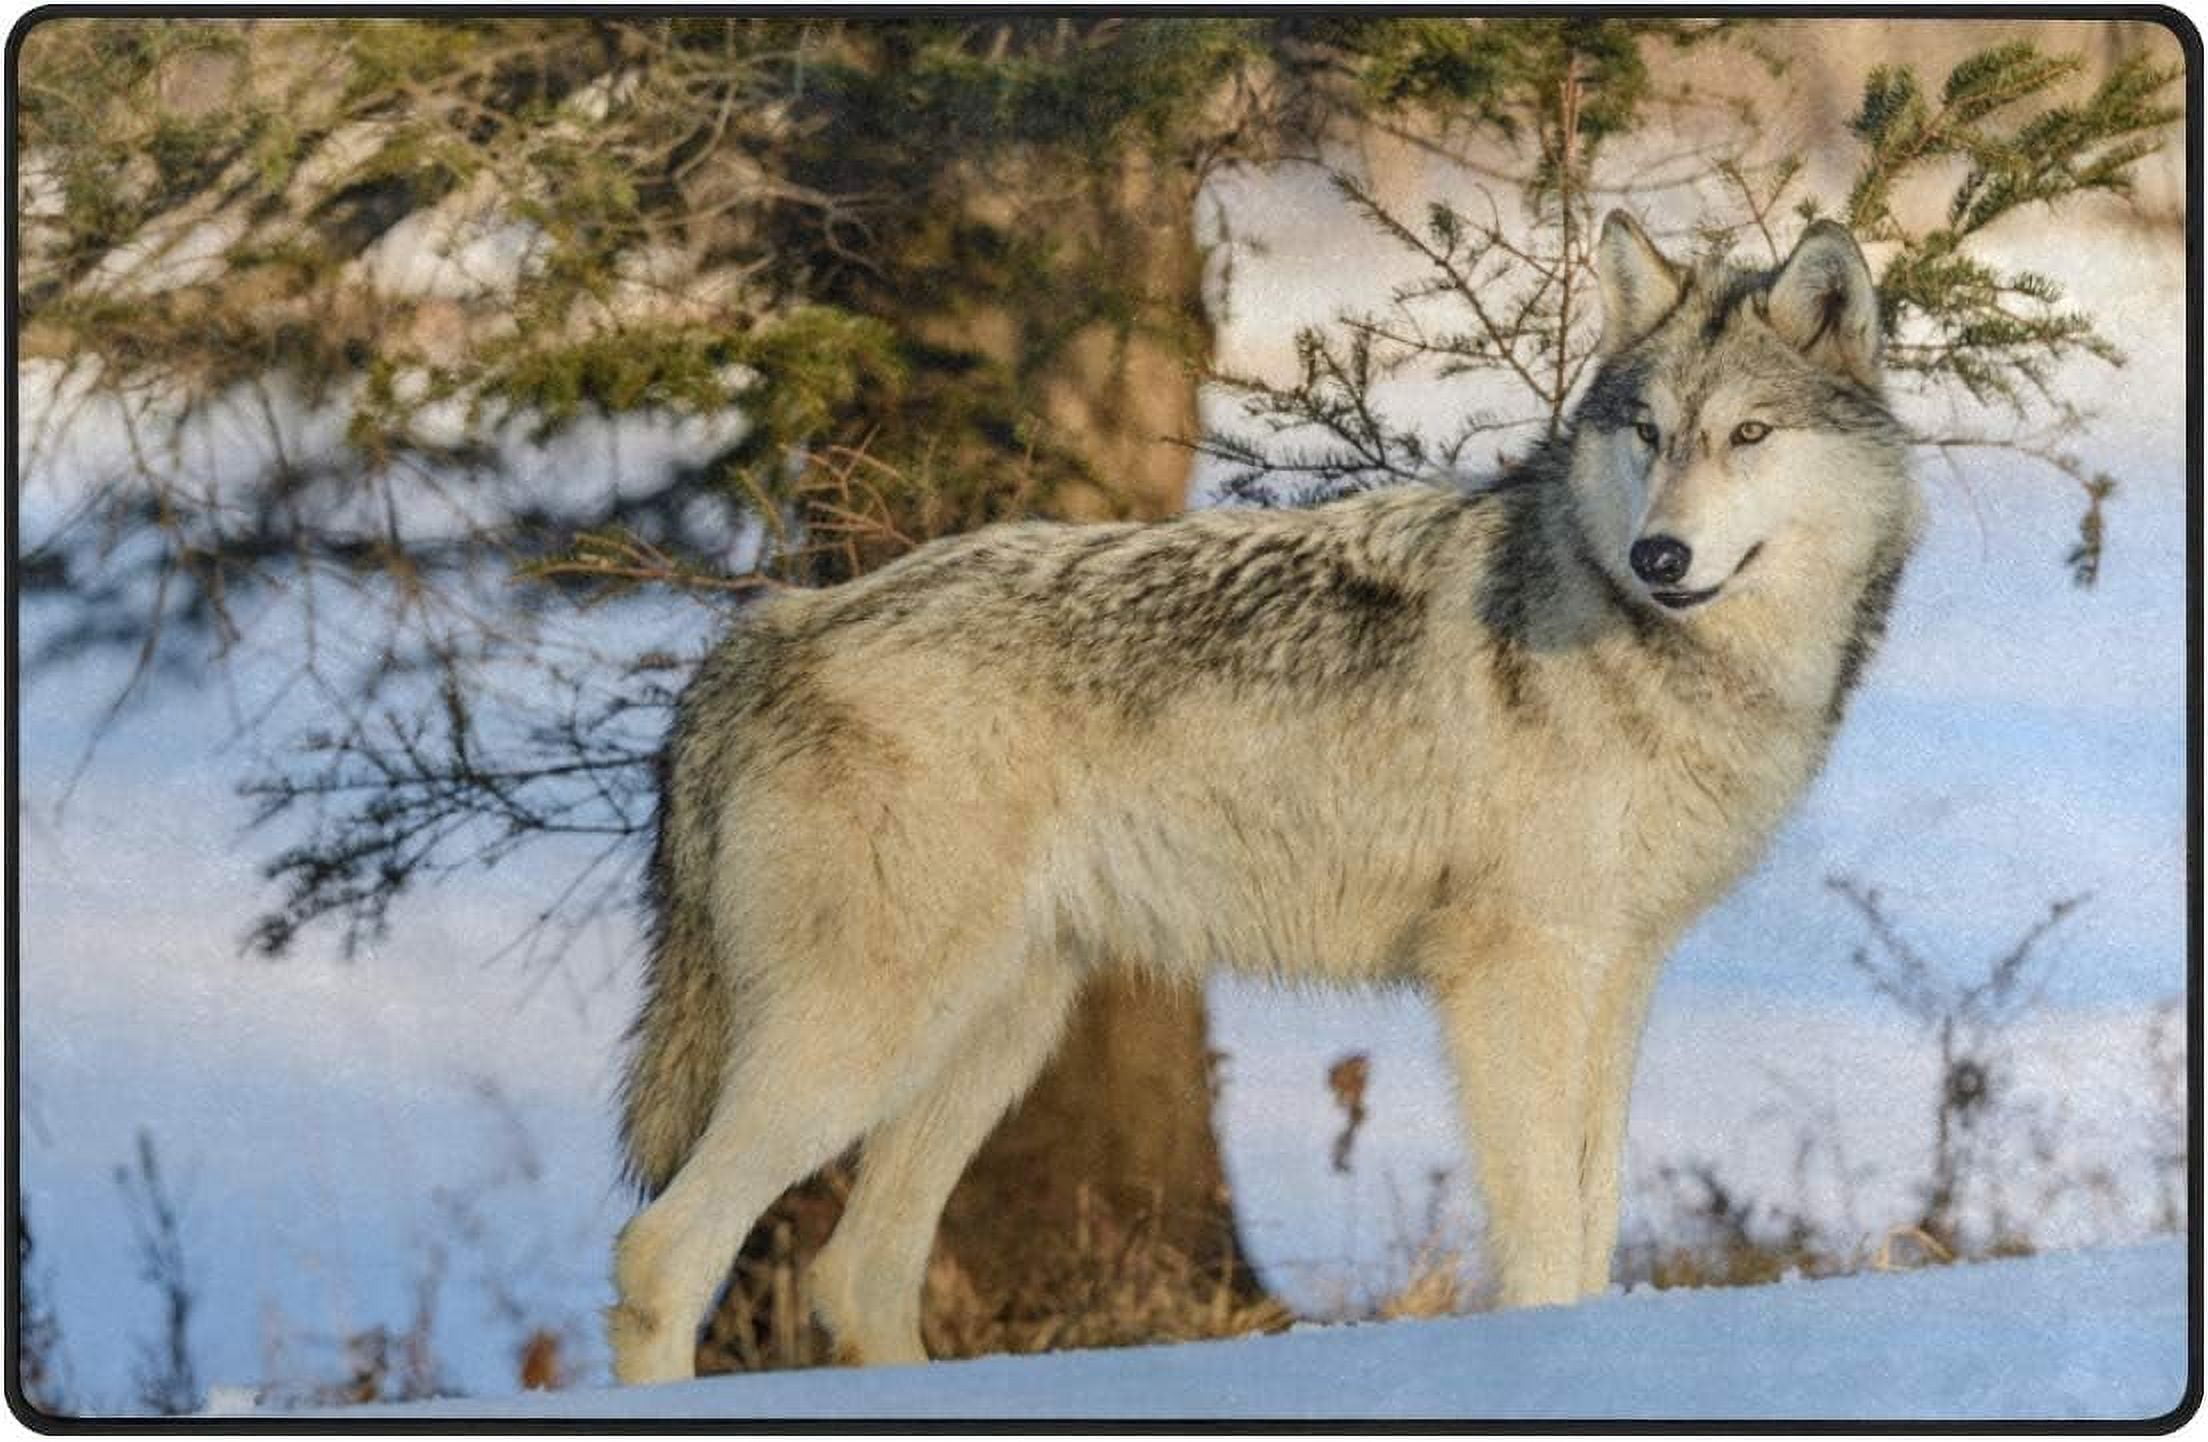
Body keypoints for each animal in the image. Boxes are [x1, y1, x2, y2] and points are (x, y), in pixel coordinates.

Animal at [606, 211, 1921, 1383]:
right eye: (1648, 432)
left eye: (1749, 433)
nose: (1659, 556)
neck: (1659, 650)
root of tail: (775, 625)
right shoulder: (1511, 975)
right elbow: (1547, 1236)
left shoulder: (1616, 970)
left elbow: (1593, 1216)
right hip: (873, 1033)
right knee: (662, 1250)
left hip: (992, 1033)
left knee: (857, 1270)